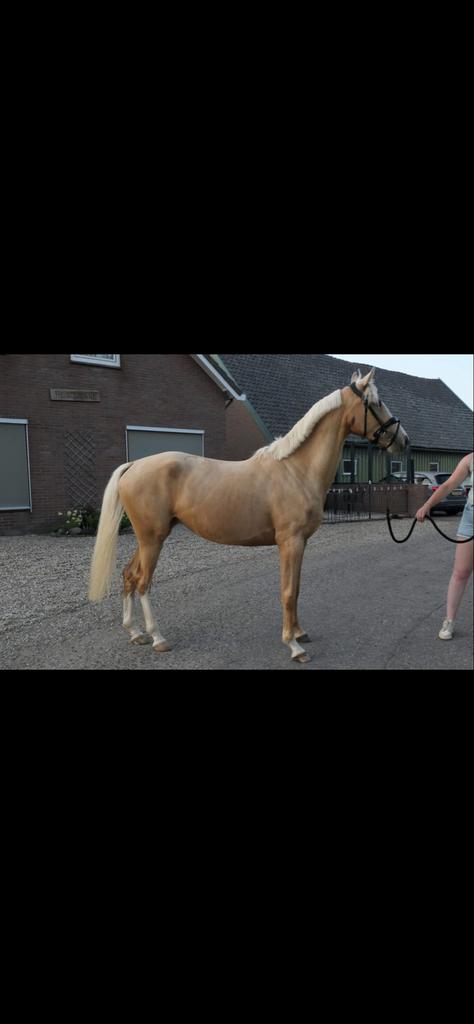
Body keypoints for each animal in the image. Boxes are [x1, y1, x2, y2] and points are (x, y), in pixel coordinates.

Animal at [89, 368, 409, 664]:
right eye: (377, 402)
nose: (403, 440)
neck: (296, 470)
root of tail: (133, 465)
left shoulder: (301, 543)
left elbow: (297, 588)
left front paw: (300, 632)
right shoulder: (290, 542)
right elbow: (288, 591)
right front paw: (294, 646)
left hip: (147, 539)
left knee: (129, 576)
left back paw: (135, 633)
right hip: (152, 540)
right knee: (143, 582)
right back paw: (157, 637)